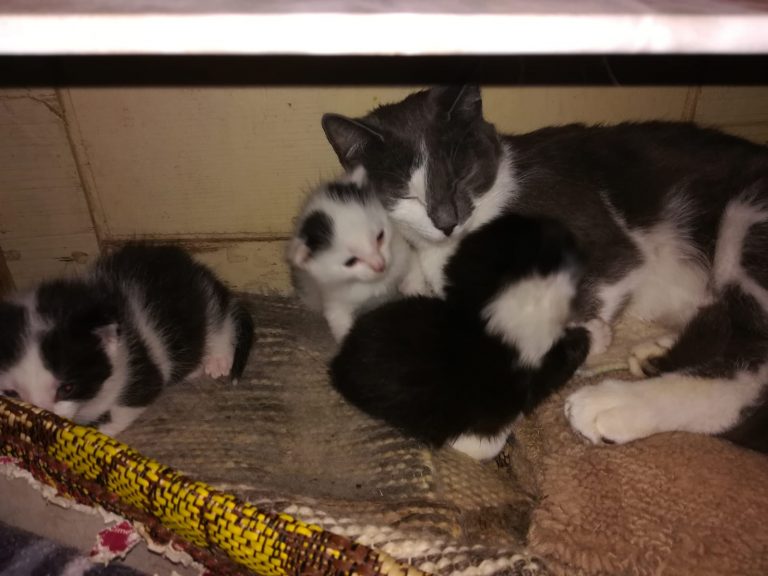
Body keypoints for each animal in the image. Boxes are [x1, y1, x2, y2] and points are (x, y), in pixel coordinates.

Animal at [0, 243, 255, 436]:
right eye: (12, 393)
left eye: (67, 388)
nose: (42, 419)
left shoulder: (140, 369)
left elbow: (131, 402)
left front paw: (102, 432)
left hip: (205, 303)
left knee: (221, 319)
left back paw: (218, 359)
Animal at [288, 178, 427, 341]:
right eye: (351, 261)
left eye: (380, 237)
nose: (380, 265)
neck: (376, 282)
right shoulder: (334, 301)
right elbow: (341, 324)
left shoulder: (403, 254)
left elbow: (413, 272)